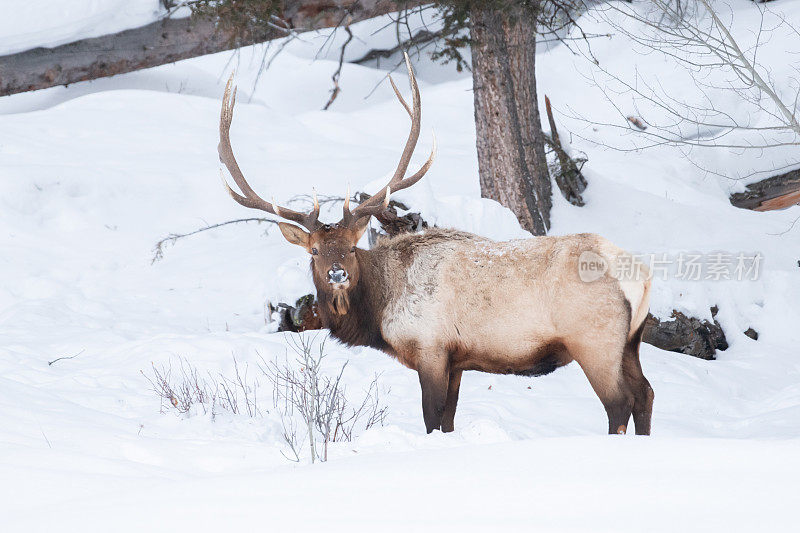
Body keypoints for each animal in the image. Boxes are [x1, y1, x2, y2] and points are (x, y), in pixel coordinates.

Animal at [216, 54, 652, 434]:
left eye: (351, 247)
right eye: (314, 251)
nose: (337, 274)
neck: (379, 312)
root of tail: (640, 276)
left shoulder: (430, 348)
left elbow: (431, 419)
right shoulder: (456, 360)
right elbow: (448, 420)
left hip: (594, 340)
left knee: (620, 403)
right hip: (631, 341)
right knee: (645, 394)